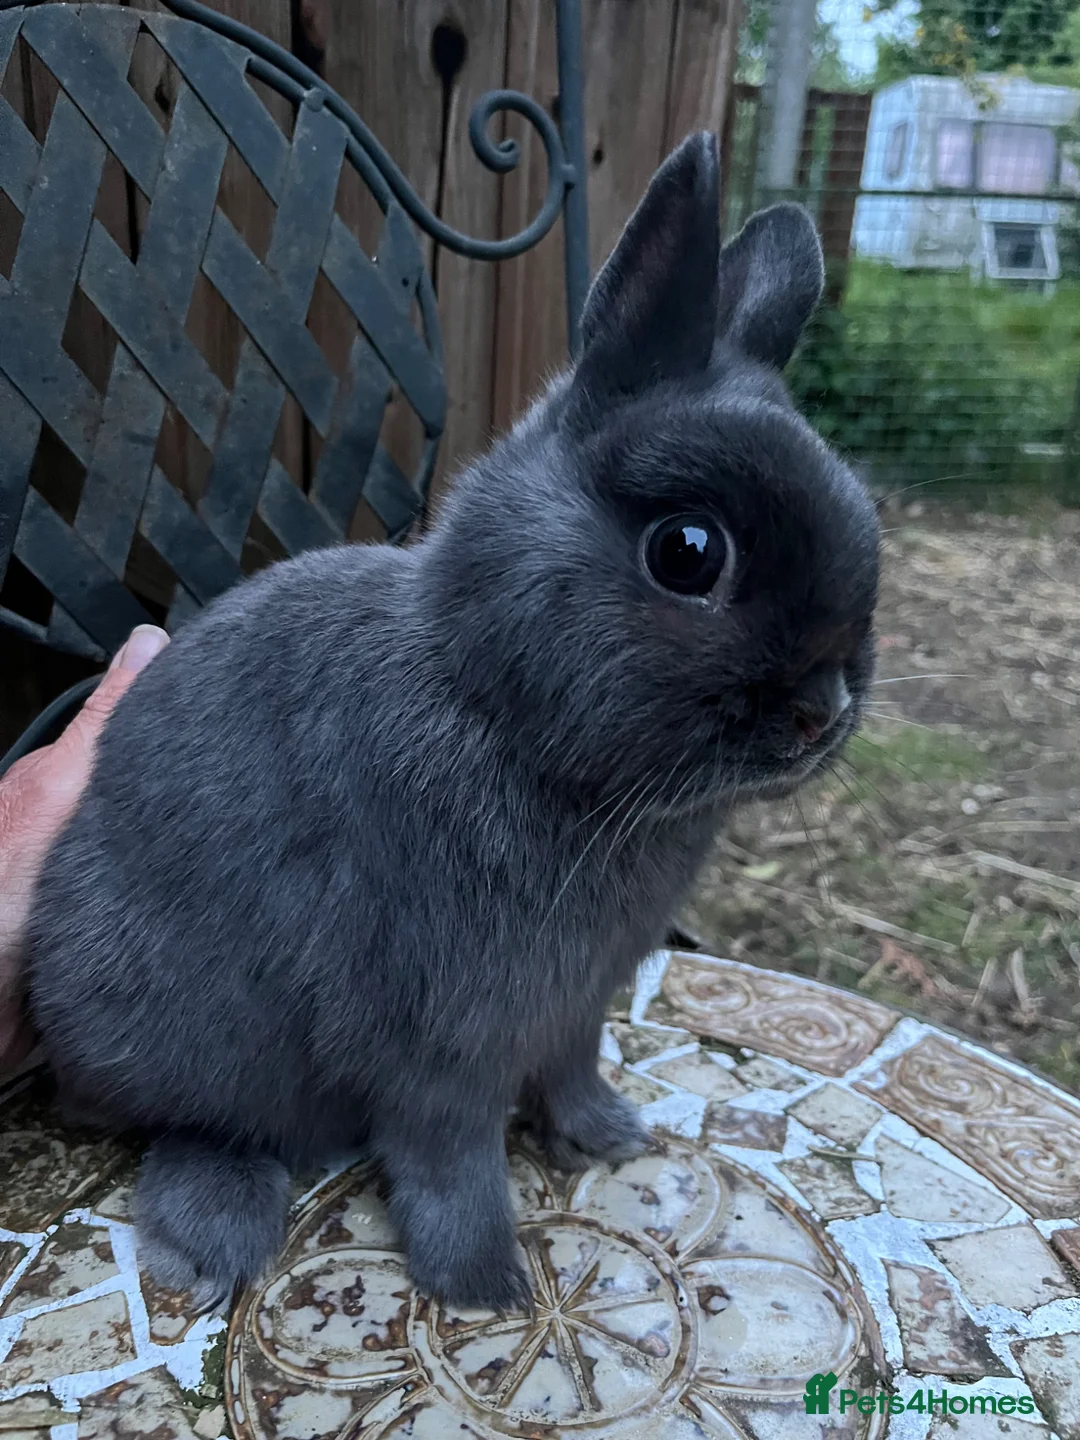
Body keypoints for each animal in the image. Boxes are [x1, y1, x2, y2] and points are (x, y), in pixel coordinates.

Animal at [27, 130, 879, 1317]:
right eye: (688, 553)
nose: (822, 711)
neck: (498, 705)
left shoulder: (576, 1004)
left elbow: (571, 1073)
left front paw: (610, 1140)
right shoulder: (441, 1037)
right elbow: (451, 1157)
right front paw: (487, 1286)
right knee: (193, 1127)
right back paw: (210, 1240)